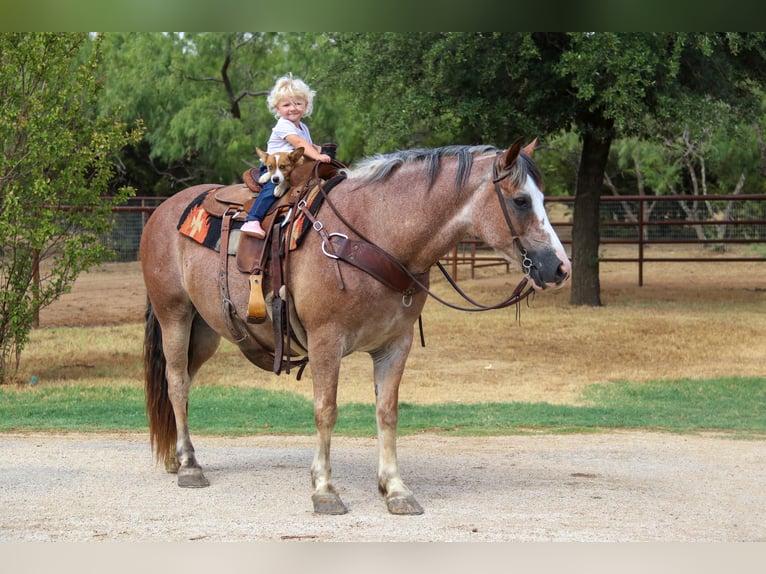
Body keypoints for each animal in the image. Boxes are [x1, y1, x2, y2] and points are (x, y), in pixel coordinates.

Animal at [140, 141, 568, 516]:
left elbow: (387, 412)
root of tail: (162, 211)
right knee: (177, 383)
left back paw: (180, 456)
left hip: (205, 330)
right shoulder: (326, 340)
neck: (374, 233)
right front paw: (325, 490)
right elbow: (326, 411)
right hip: (174, 315)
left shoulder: (395, 344)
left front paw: (395, 488)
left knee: (185, 382)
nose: (560, 267)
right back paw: (190, 467)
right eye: (520, 200)